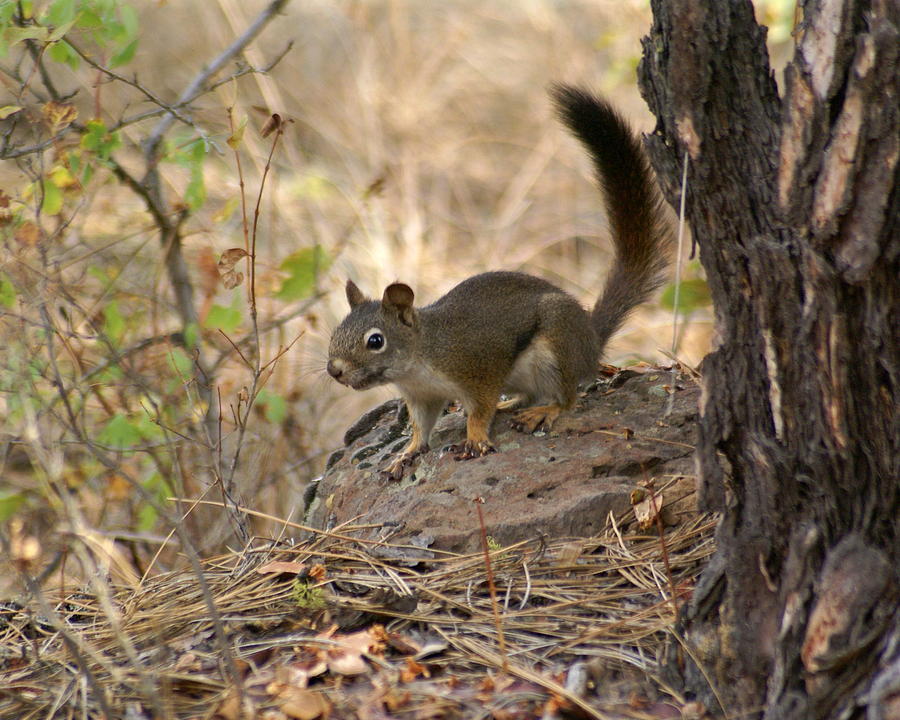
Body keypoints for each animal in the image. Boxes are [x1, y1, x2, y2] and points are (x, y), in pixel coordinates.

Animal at [326, 86, 672, 478]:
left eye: (375, 341)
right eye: (337, 331)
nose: (334, 370)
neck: (422, 357)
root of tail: (591, 339)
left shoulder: (479, 369)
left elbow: (479, 409)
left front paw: (475, 438)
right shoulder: (421, 397)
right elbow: (420, 427)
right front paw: (407, 452)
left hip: (557, 344)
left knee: (568, 397)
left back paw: (544, 411)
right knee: (531, 393)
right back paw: (514, 405)